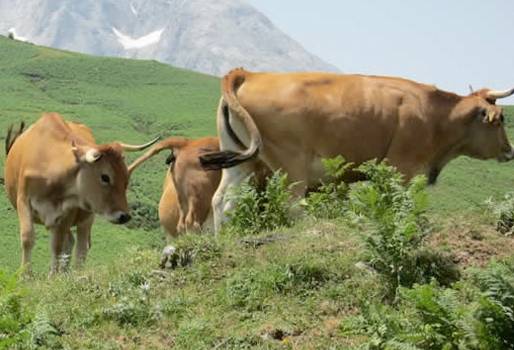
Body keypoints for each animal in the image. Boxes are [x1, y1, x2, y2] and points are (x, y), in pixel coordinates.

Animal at [4, 113, 158, 274]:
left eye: (126, 178)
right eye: (105, 177)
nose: (124, 216)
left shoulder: (65, 215)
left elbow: (57, 247)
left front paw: (53, 276)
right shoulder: (24, 202)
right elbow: (28, 239)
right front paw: (25, 275)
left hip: (87, 218)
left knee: (81, 246)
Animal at [199, 68, 512, 232]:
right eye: (501, 119)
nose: (509, 151)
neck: (433, 113)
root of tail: (250, 73)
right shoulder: (402, 169)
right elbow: (397, 205)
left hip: (241, 165)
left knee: (223, 201)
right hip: (292, 167)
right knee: (292, 206)